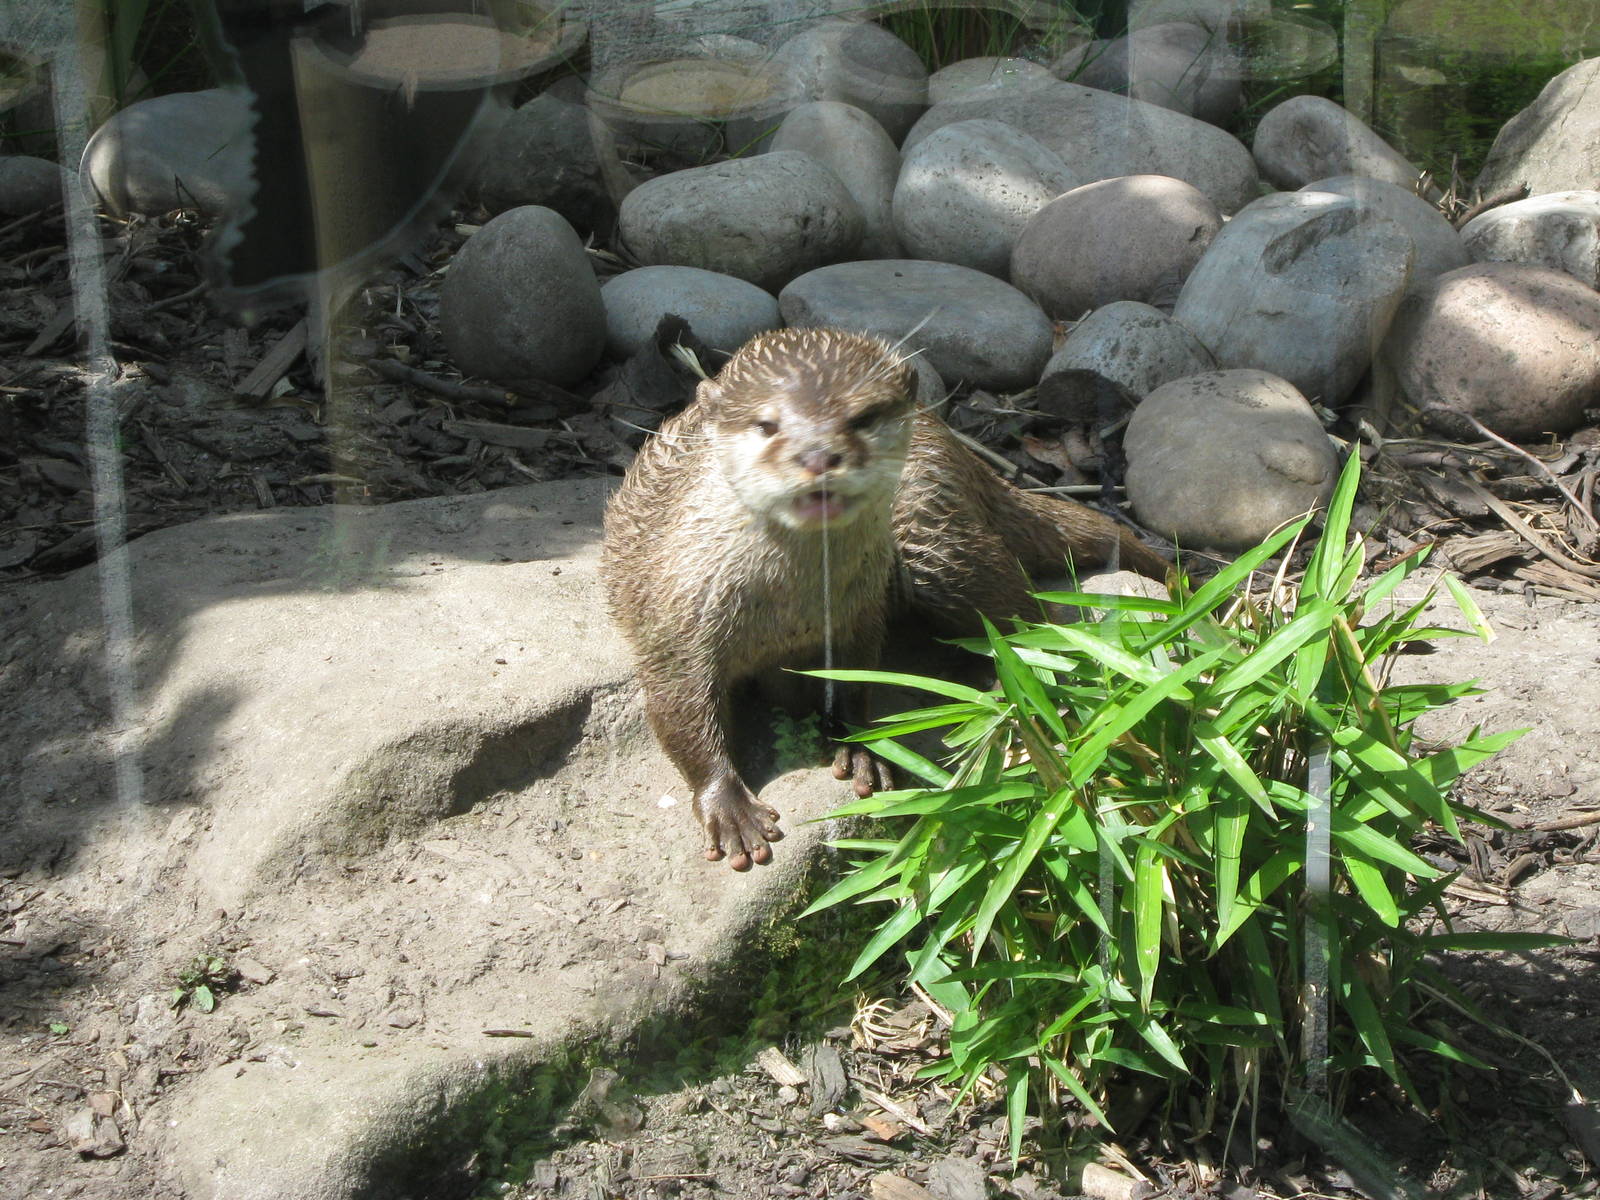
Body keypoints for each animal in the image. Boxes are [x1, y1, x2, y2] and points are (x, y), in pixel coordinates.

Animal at [601, 327, 1168, 870]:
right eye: (765, 425)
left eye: (864, 417)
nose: (819, 455)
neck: (788, 613)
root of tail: (963, 451)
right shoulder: (676, 619)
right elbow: (681, 712)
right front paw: (730, 809)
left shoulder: (860, 614)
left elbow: (858, 677)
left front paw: (860, 749)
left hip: (932, 539)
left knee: (1028, 609)